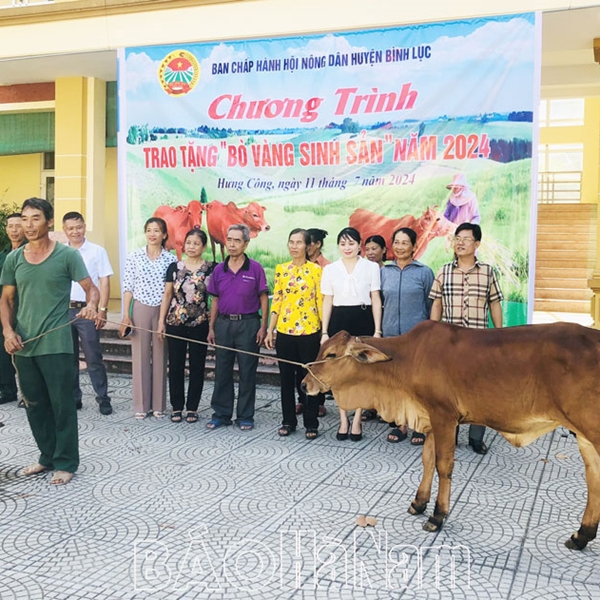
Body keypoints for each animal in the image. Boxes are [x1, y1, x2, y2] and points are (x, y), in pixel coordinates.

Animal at [302, 322, 600, 552]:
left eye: (331, 354)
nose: (305, 385)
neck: (406, 360)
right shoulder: (430, 419)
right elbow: (426, 461)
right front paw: (418, 503)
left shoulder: (444, 416)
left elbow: (443, 466)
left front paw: (437, 516)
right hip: (584, 436)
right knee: (593, 478)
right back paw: (581, 535)